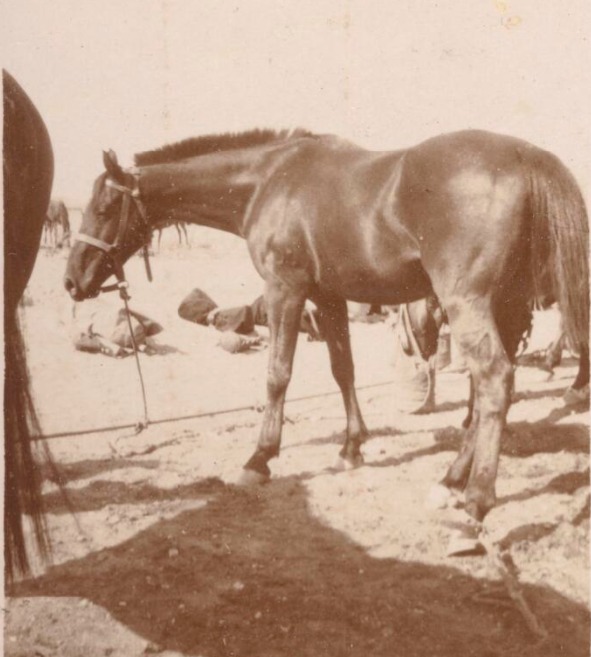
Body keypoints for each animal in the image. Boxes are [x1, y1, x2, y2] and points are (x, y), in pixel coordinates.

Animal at [64, 128, 589, 524]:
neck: (269, 181)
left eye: (105, 209)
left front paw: (260, 459)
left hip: (469, 304)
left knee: (495, 380)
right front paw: (351, 447)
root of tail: (525, 156)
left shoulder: (285, 291)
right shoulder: (329, 298)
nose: (72, 281)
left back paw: (477, 499)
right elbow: (343, 370)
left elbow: (277, 375)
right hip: (506, 307)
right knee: (483, 394)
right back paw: (453, 477)